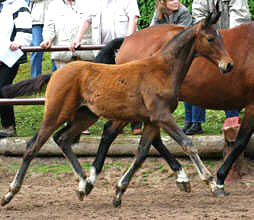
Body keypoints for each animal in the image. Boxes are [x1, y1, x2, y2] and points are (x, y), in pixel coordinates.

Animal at [0, 12, 233, 208]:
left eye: (221, 37)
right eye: (210, 39)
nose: (228, 65)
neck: (163, 70)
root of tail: (56, 73)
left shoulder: (151, 121)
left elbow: (141, 154)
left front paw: (119, 192)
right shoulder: (162, 116)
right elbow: (187, 144)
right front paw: (212, 183)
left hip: (85, 115)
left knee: (62, 138)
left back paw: (84, 184)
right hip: (56, 112)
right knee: (33, 146)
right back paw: (10, 193)